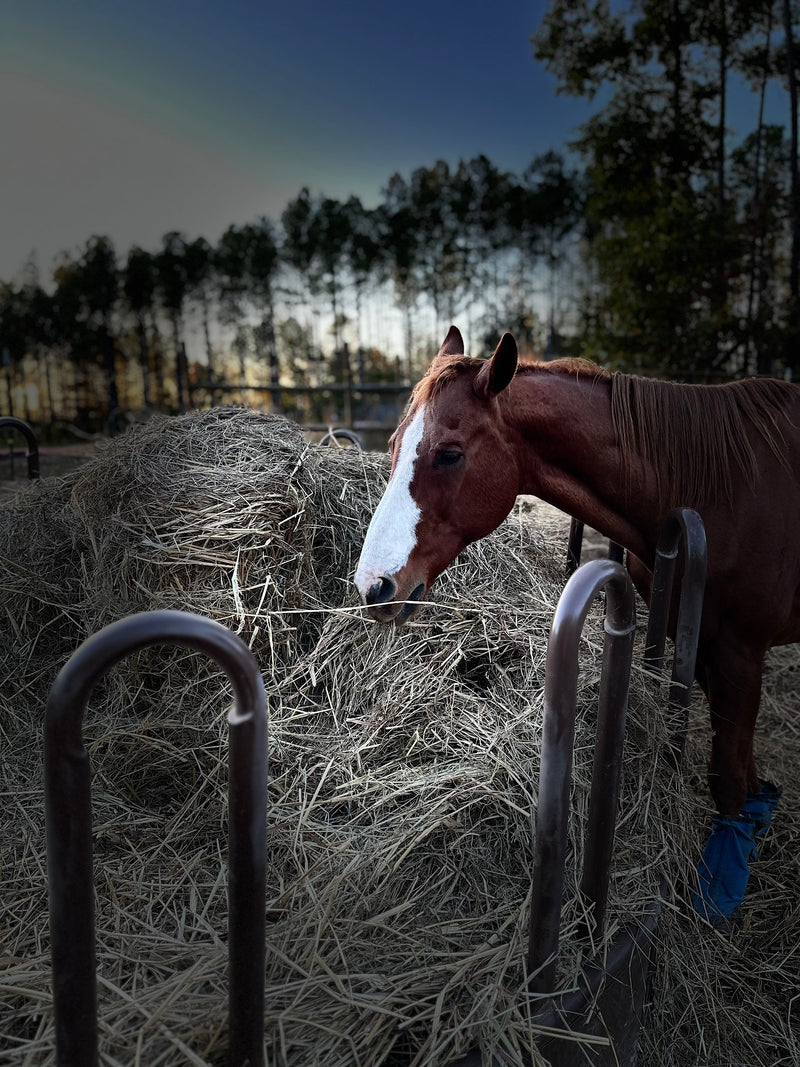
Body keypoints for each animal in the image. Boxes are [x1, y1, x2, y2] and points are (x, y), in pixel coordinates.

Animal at [354, 326, 800, 821]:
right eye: (392, 445)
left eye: (449, 455)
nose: (373, 585)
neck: (716, 490)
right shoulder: (702, 642)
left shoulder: (740, 653)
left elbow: (729, 782)